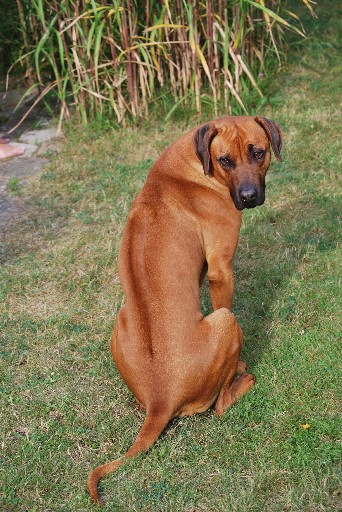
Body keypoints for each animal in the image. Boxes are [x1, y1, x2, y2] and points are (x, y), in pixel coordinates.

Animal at [88, 114, 284, 502]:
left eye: (258, 152)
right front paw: (241, 365)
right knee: (220, 406)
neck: (193, 164)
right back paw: (243, 378)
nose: (248, 197)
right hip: (225, 322)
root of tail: (160, 401)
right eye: (225, 161)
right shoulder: (221, 269)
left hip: (119, 326)